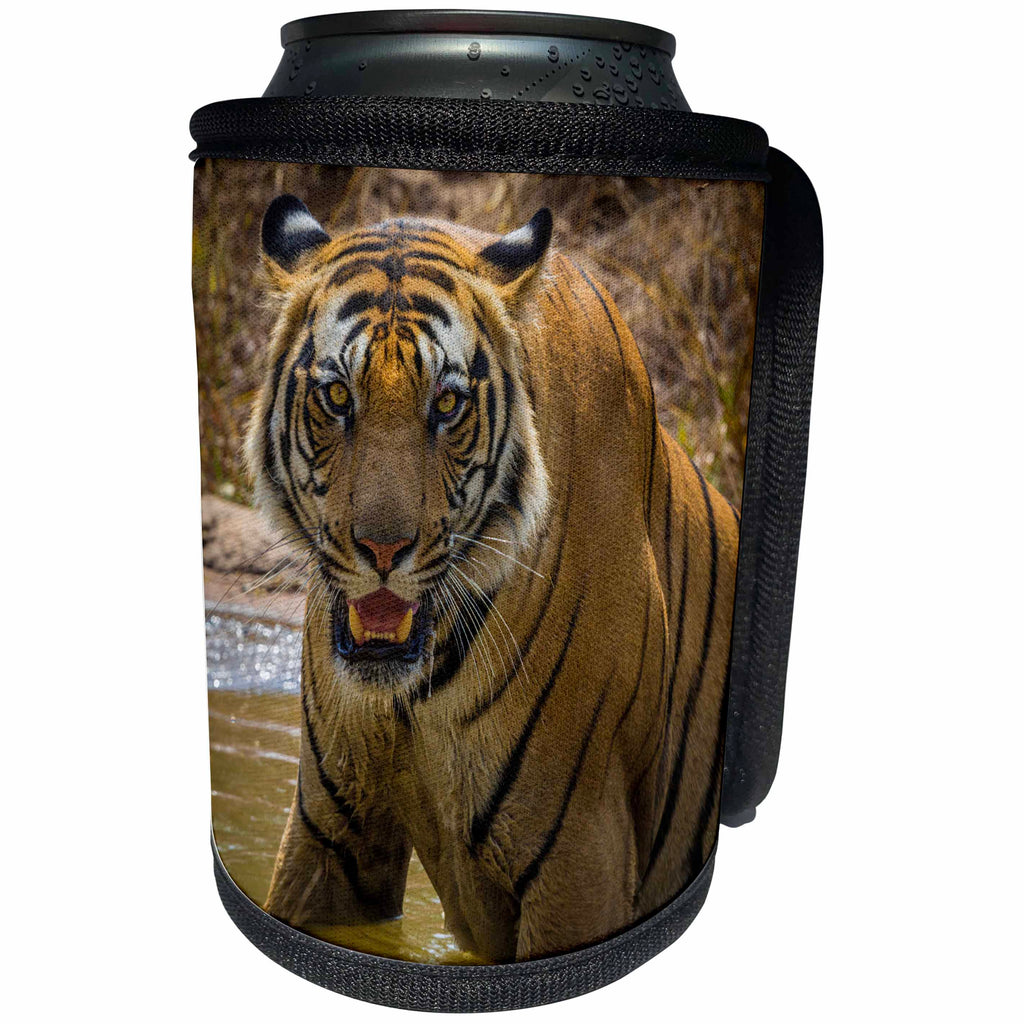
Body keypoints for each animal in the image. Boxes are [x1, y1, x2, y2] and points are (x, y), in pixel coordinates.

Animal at [247, 193, 740, 962]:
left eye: (447, 406)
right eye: (337, 396)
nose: (382, 549)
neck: (412, 700)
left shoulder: (579, 859)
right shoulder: (330, 834)